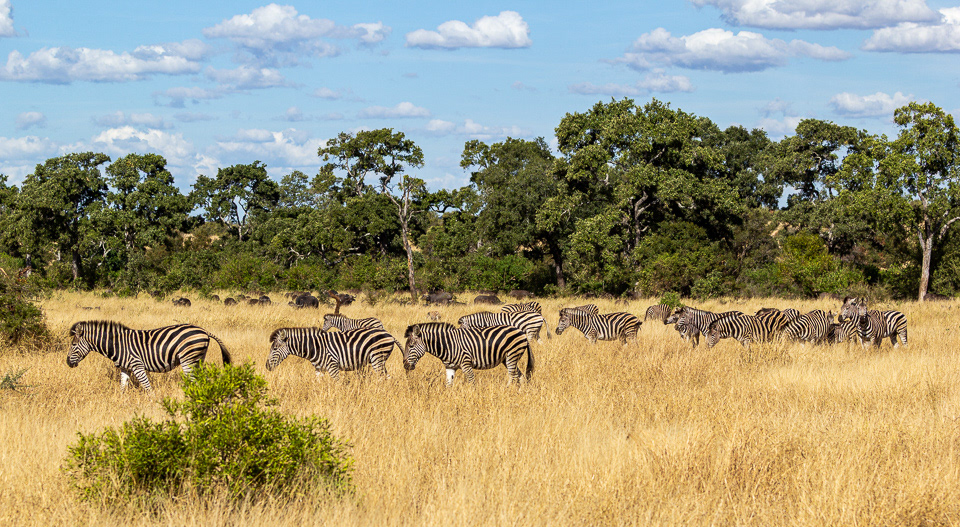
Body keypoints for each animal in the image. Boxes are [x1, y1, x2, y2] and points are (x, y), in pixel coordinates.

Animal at [66, 320, 231, 391]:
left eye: (73, 345)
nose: (68, 363)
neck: (117, 344)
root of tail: (203, 330)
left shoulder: (137, 366)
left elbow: (148, 388)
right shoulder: (125, 368)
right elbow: (122, 387)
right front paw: (120, 402)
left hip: (188, 359)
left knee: (194, 381)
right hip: (198, 359)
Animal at [266, 326, 401, 379]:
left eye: (275, 349)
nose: (266, 366)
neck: (315, 347)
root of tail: (389, 334)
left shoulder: (333, 366)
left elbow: (338, 385)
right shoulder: (319, 369)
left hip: (377, 358)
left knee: (382, 378)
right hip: (380, 360)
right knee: (387, 377)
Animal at [402, 322, 533, 385]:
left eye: (411, 346)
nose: (405, 366)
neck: (448, 345)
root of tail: (521, 331)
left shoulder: (466, 364)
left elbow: (472, 383)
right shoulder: (450, 367)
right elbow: (448, 385)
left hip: (512, 355)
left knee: (513, 376)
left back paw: (507, 391)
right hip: (506, 359)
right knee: (520, 376)